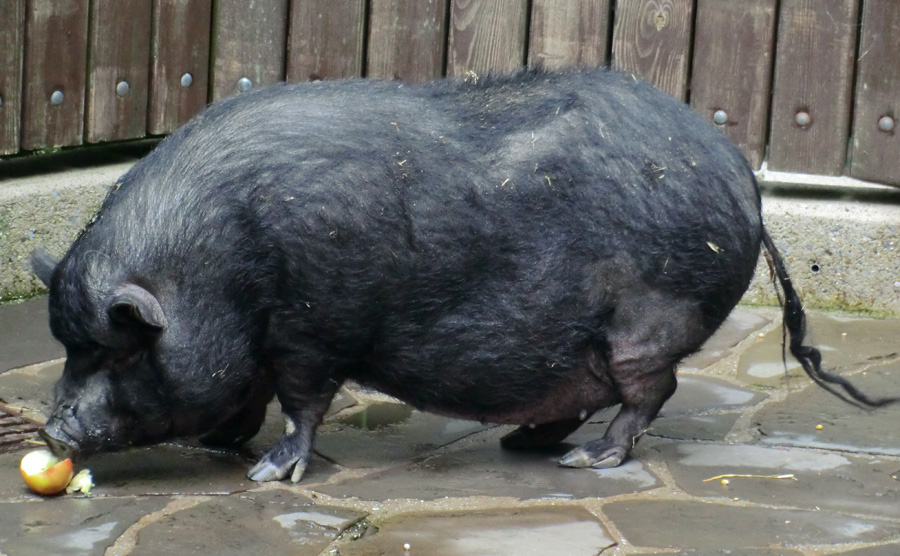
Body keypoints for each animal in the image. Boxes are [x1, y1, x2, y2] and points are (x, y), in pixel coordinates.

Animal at [29, 67, 892, 482]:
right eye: (69, 347)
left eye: (117, 349)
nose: (53, 428)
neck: (217, 272)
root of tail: (745, 182)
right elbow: (242, 391)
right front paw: (219, 444)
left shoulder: (313, 327)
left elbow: (301, 402)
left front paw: (272, 475)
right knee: (586, 393)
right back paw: (524, 442)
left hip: (647, 323)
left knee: (651, 391)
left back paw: (589, 460)